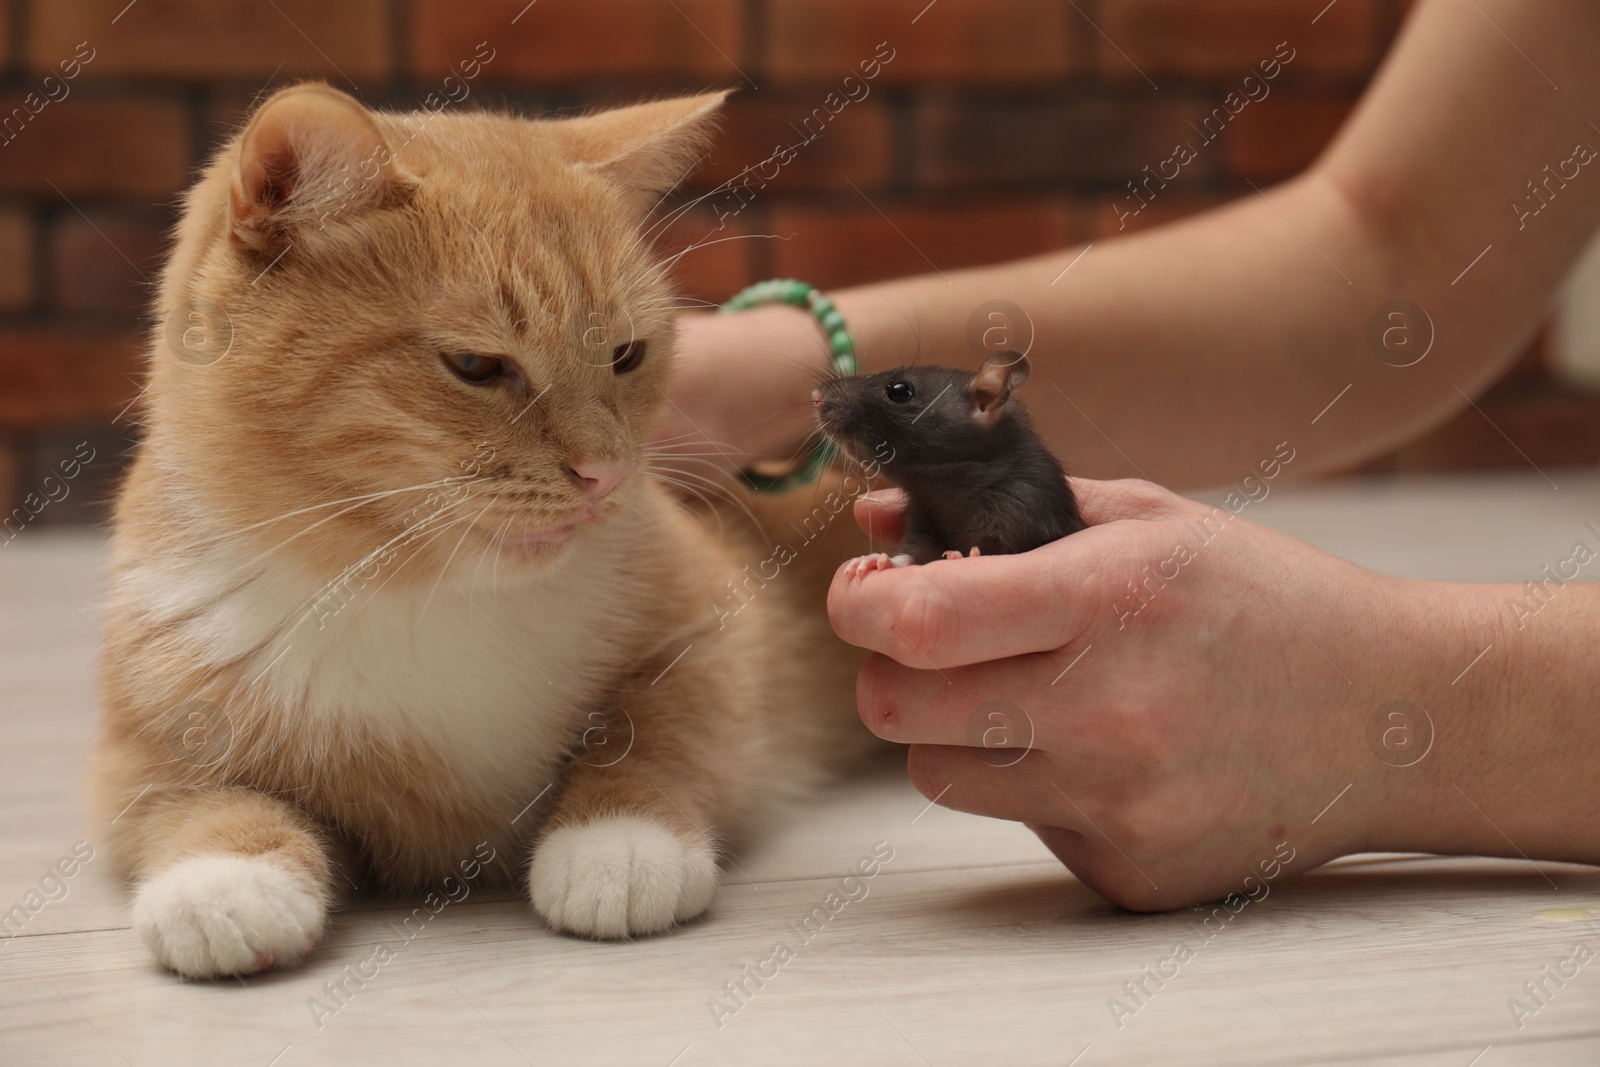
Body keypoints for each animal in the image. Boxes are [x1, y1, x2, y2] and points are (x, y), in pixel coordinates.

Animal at [93, 83, 870, 979]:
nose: (605, 475)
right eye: (476, 366)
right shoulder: (138, 735)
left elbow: (660, 731)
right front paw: (224, 878)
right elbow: (186, 795)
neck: (420, 593)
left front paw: (619, 840)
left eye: (626, 355)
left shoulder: (720, 635)